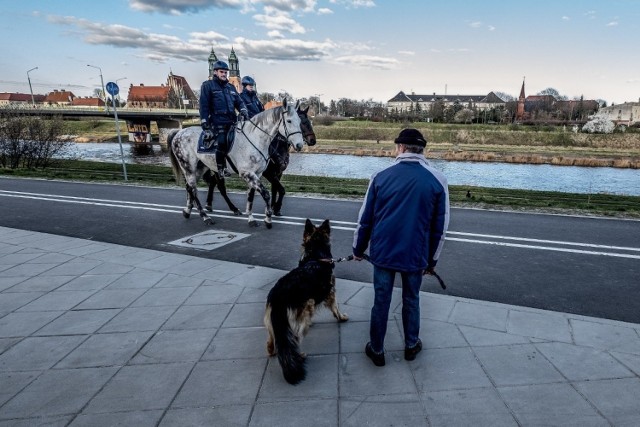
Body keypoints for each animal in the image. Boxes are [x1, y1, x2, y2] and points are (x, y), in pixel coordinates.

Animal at [166, 99, 304, 229]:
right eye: (289, 121)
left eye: (300, 121)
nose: (299, 145)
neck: (255, 138)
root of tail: (179, 132)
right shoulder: (247, 173)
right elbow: (266, 194)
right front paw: (268, 219)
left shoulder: (257, 174)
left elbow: (251, 196)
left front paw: (251, 218)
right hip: (188, 168)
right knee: (194, 190)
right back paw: (205, 216)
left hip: (200, 168)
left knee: (190, 188)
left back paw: (188, 211)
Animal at [262, 219, 348, 386]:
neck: (316, 256)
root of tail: (278, 297)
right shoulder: (331, 293)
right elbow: (335, 307)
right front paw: (341, 317)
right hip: (305, 309)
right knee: (294, 339)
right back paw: (299, 355)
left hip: (273, 324)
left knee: (271, 343)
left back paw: (274, 352)